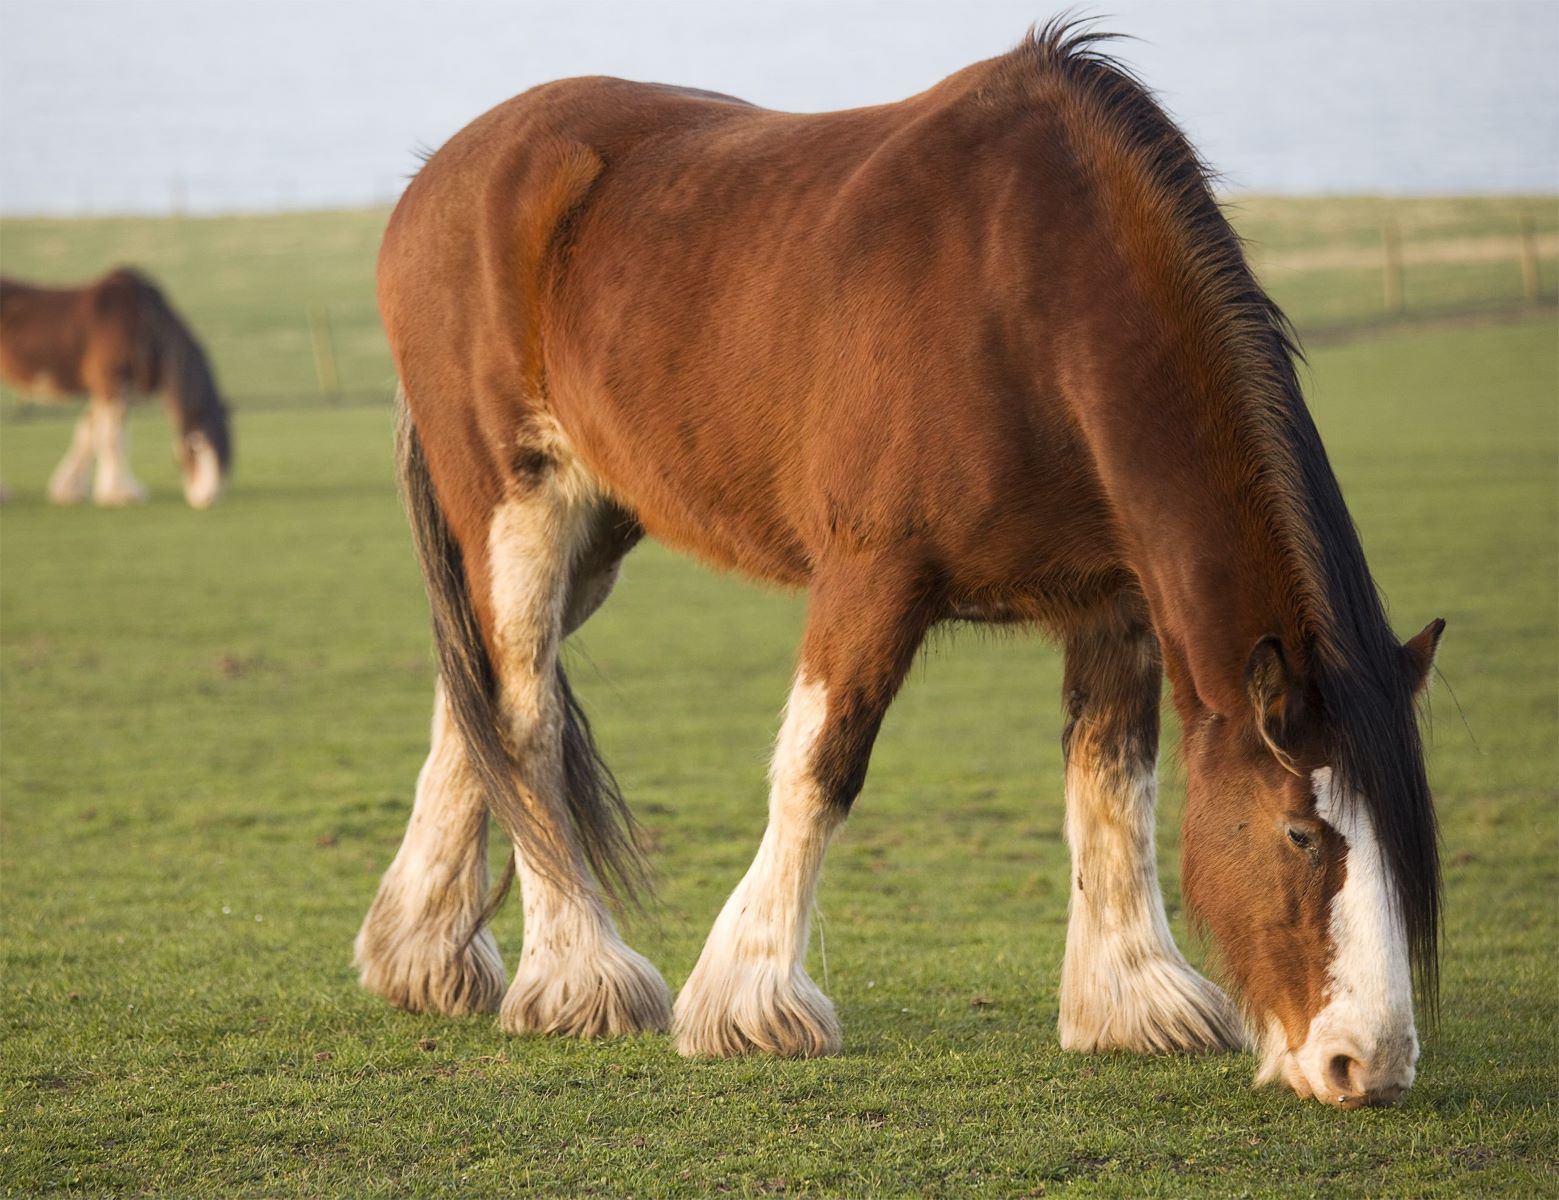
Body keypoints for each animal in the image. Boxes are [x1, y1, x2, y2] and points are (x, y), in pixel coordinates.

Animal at [0, 266, 230, 504]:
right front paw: (119, 493)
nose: (208, 497)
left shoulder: (110, 390)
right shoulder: (112, 384)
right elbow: (112, 439)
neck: (143, 322)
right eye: (196, 445)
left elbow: (88, 431)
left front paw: (68, 490)